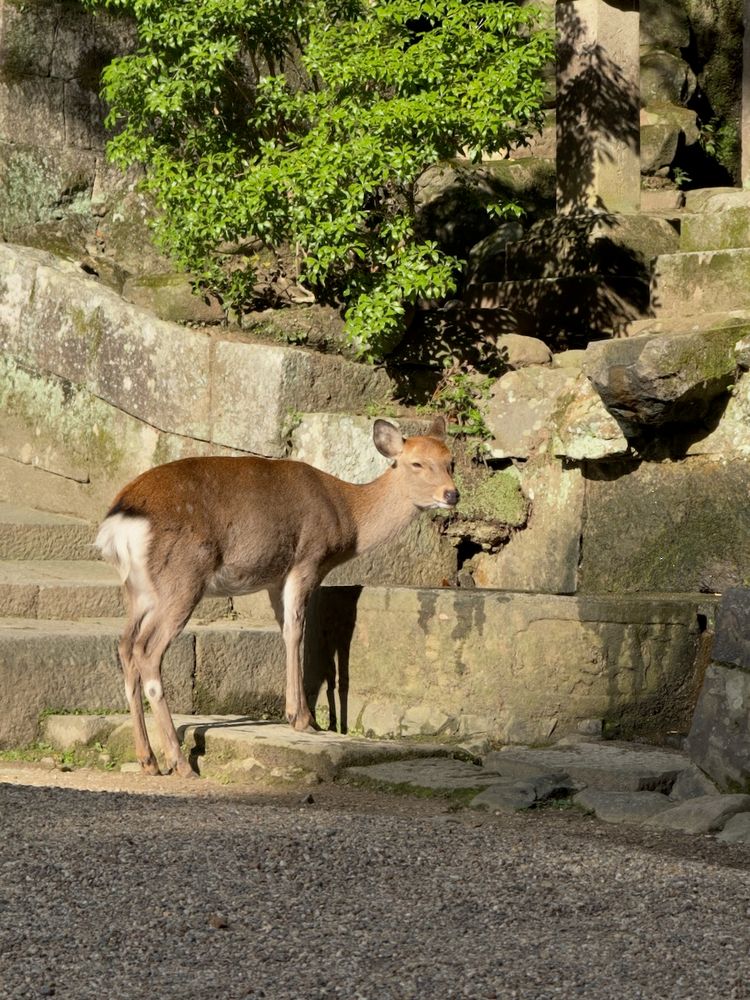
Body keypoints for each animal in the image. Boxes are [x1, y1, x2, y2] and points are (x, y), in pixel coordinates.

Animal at [95, 416, 458, 778]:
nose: (452, 494)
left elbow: (287, 630)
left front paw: (301, 714)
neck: (348, 519)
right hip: (183, 579)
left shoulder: (273, 578)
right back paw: (180, 762)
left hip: (139, 590)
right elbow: (299, 633)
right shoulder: (307, 559)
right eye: (416, 463)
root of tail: (119, 522)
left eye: (450, 461)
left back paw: (148, 759)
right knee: (147, 650)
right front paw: (302, 718)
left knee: (125, 646)